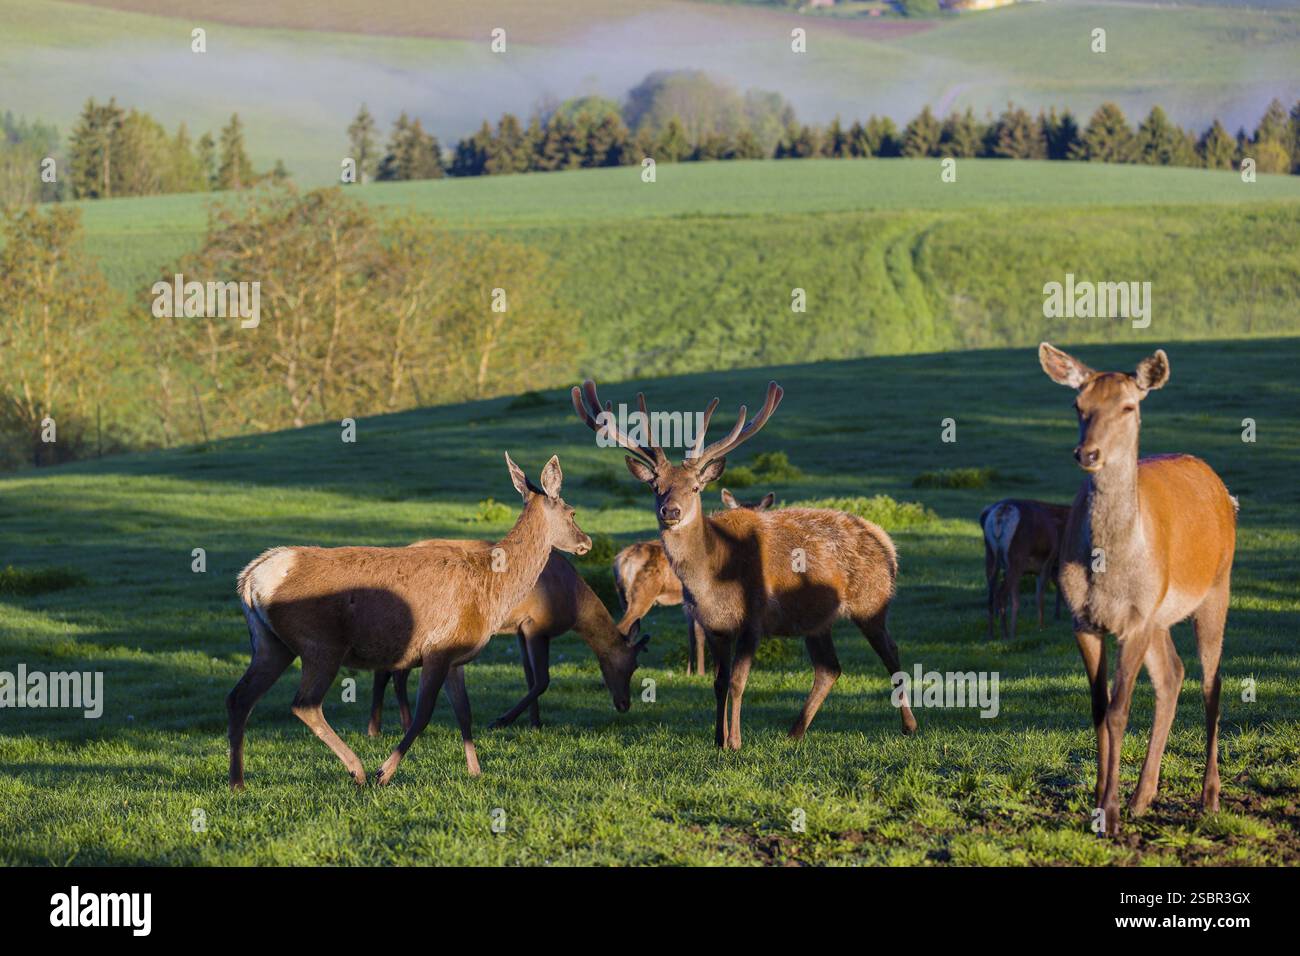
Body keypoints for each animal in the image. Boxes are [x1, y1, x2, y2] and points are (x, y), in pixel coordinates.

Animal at [226, 453, 590, 790]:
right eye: (573, 512)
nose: (586, 542)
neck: (491, 591)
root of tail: (250, 578)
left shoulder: (457, 657)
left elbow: (465, 713)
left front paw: (476, 771)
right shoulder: (438, 647)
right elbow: (423, 715)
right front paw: (384, 772)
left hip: (271, 644)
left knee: (239, 697)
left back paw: (237, 782)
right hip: (321, 642)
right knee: (305, 704)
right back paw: (357, 769)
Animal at [369, 545, 647, 735]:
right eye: (632, 665)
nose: (624, 704)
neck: (575, 605)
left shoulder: (521, 629)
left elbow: (530, 677)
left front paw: (535, 723)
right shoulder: (537, 625)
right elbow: (542, 680)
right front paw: (501, 721)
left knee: (388, 671)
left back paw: (378, 727)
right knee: (395, 672)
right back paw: (397, 725)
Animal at [614, 488, 774, 675]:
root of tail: (620, 561)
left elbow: (691, 633)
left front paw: (689, 671)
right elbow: (700, 632)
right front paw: (701, 672)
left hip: (623, 599)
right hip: (642, 594)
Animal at [979, 498, 1072, 639]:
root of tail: (1000, 514)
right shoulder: (1047, 563)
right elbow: (1040, 597)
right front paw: (1041, 628)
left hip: (991, 556)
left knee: (991, 596)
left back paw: (991, 635)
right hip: (1016, 557)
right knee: (1001, 594)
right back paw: (1007, 635)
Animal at [1039, 343, 1236, 836]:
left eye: (1129, 406)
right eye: (1078, 405)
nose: (1087, 453)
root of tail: (1222, 489)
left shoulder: (1134, 621)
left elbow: (1119, 710)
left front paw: (1107, 813)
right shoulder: (1086, 621)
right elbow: (1098, 708)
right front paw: (1098, 802)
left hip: (1215, 588)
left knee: (1212, 682)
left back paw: (1209, 798)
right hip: (1160, 613)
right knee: (1172, 675)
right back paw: (1142, 796)